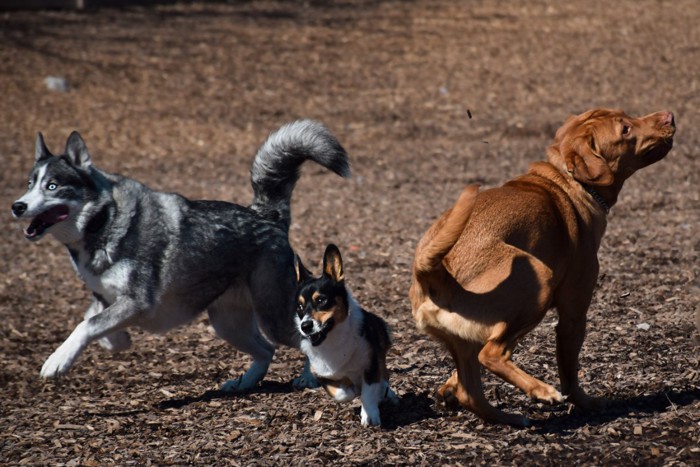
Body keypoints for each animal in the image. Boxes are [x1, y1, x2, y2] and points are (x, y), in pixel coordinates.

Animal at [10, 119, 350, 392]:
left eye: (52, 186)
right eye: (29, 184)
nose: (17, 206)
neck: (103, 222)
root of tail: (267, 215)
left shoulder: (137, 302)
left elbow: (86, 325)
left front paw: (57, 361)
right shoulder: (106, 298)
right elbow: (92, 321)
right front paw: (119, 341)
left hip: (273, 316)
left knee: (303, 339)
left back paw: (308, 377)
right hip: (227, 323)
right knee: (266, 351)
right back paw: (244, 383)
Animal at [292, 245, 396, 428]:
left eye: (321, 300)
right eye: (300, 307)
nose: (305, 326)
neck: (332, 340)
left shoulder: (371, 365)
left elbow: (368, 393)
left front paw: (370, 416)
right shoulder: (322, 375)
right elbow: (341, 394)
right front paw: (351, 390)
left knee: (384, 376)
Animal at [412, 109, 676, 428]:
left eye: (627, 116)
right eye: (625, 129)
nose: (669, 115)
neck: (568, 180)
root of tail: (435, 273)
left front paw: (446, 389)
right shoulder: (573, 315)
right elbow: (569, 372)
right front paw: (586, 402)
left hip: (469, 339)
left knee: (471, 391)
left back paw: (511, 417)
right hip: (539, 282)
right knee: (492, 354)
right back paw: (542, 391)